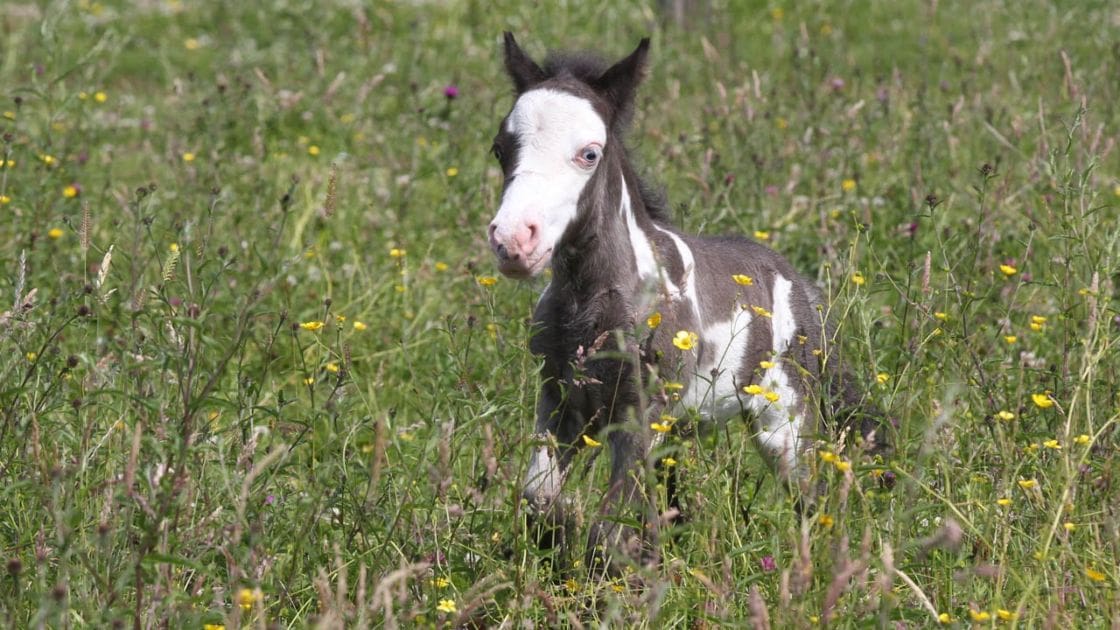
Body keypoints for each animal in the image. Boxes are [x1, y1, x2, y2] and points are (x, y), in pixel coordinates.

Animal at [486, 32, 886, 572]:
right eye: (500, 149)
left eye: (589, 154)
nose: (512, 242)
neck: (595, 305)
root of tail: (799, 284)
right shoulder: (560, 398)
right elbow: (541, 500)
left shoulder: (641, 411)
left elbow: (610, 528)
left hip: (785, 419)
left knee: (811, 496)